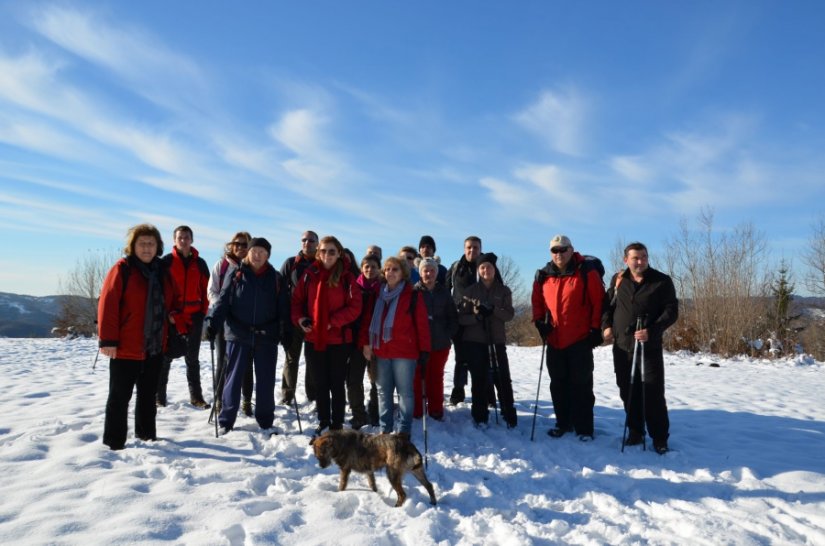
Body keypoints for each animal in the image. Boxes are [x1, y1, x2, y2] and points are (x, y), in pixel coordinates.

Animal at [310, 430, 438, 506]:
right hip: (417, 471)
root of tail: (407, 444)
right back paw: (433, 502)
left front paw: (339, 494)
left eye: (322, 454)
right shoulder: (369, 471)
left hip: (392, 474)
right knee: (429, 485)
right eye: (316, 456)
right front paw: (375, 494)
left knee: (402, 494)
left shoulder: (345, 470)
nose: (321, 466)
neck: (339, 443)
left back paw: (396, 507)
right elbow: (373, 484)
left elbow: (342, 484)